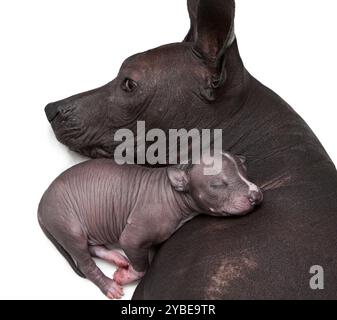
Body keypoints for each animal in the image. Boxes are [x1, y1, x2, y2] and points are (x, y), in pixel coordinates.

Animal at [37, 152, 262, 298]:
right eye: (217, 185)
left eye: (245, 171)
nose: (256, 195)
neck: (173, 192)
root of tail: (40, 205)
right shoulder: (132, 237)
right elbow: (142, 267)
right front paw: (127, 276)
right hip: (65, 222)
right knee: (85, 263)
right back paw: (109, 286)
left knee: (92, 247)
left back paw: (116, 258)